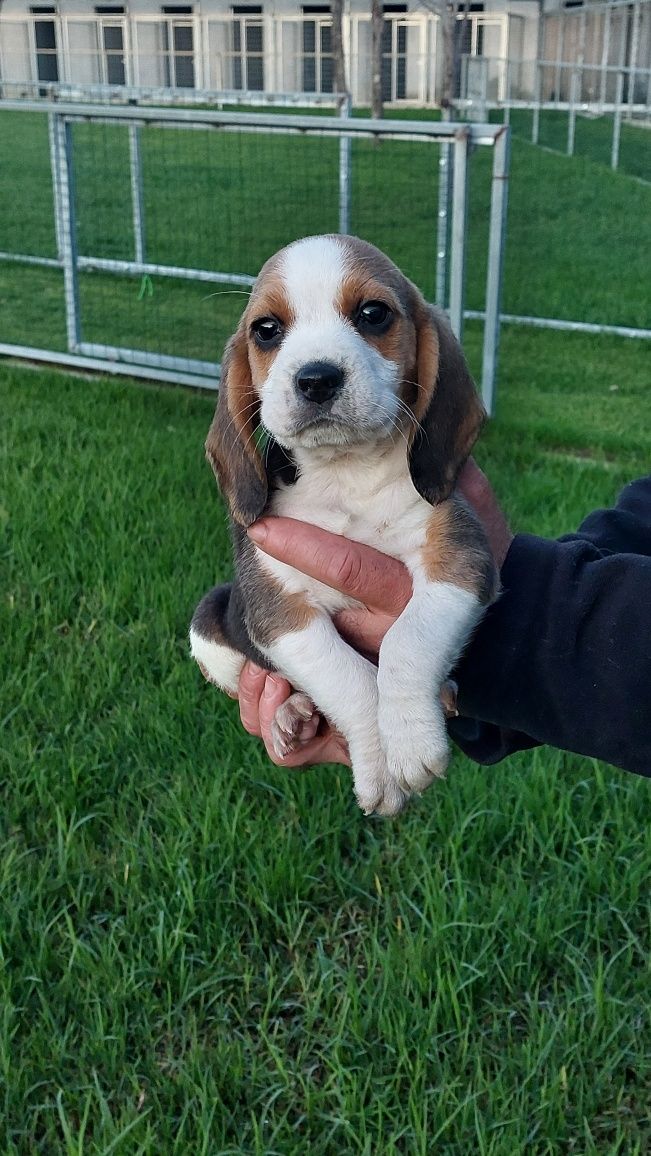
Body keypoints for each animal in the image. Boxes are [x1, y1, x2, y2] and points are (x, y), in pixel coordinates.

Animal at [190, 232, 497, 813]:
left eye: (373, 314)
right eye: (266, 329)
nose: (316, 378)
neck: (345, 474)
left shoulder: (457, 561)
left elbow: (406, 642)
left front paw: (410, 741)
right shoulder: (281, 611)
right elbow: (349, 678)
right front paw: (379, 760)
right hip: (209, 623)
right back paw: (288, 713)